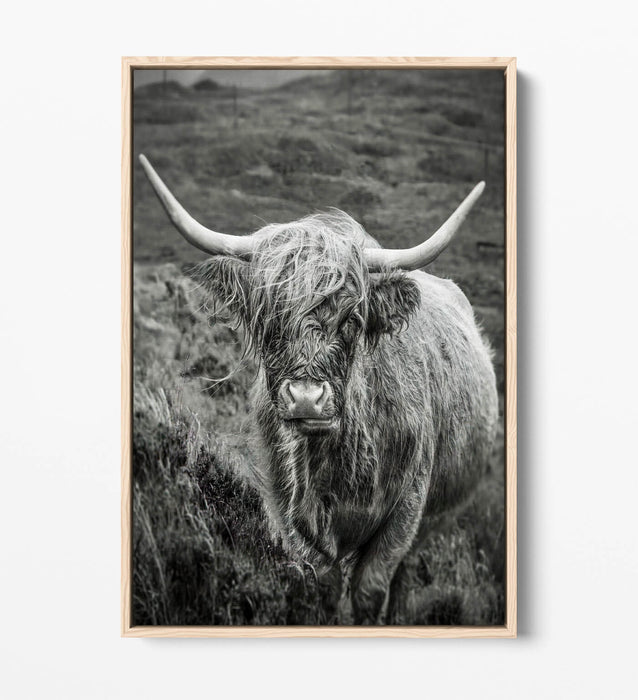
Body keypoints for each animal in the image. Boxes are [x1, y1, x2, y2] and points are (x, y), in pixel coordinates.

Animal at [139, 154, 498, 624]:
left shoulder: (406, 509)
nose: (306, 398)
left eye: (352, 319)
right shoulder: (288, 511)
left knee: (405, 575)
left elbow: (372, 587)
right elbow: (322, 585)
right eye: (268, 319)